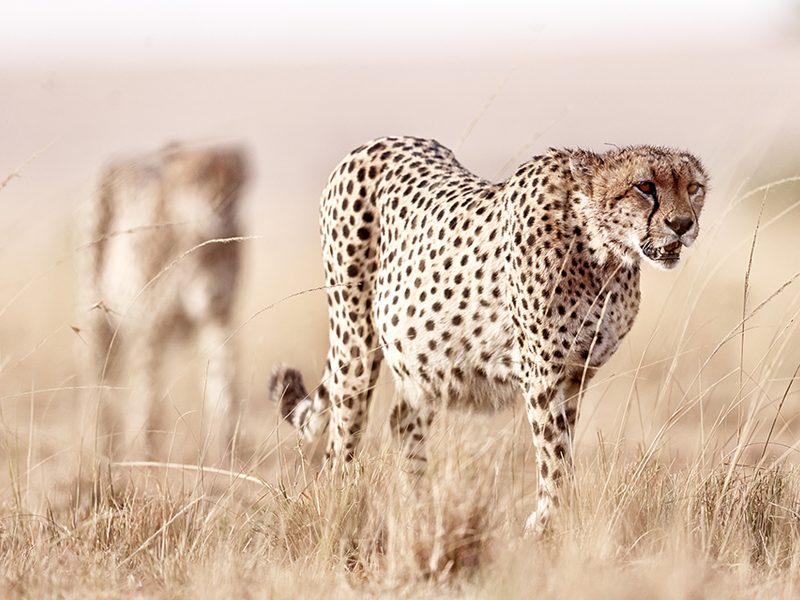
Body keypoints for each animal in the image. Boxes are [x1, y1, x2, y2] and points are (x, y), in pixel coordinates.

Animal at [77, 142, 248, 459]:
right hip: (95, 317)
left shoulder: (217, 317)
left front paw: (226, 456)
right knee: (97, 382)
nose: (221, 207)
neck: (199, 242)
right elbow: (147, 395)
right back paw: (99, 446)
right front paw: (145, 457)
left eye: (233, 181)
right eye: (197, 177)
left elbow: (223, 386)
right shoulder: (150, 324)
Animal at [268, 136, 708, 534]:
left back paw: (419, 508)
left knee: (402, 421)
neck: (602, 251)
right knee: (343, 438)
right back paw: (340, 508)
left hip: (423, 359)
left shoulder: (576, 373)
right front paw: (547, 523)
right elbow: (552, 452)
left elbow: (562, 448)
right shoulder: (543, 372)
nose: (682, 225)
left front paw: (555, 518)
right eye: (644, 186)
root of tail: (376, 142)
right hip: (355, 340)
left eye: (693, 188)